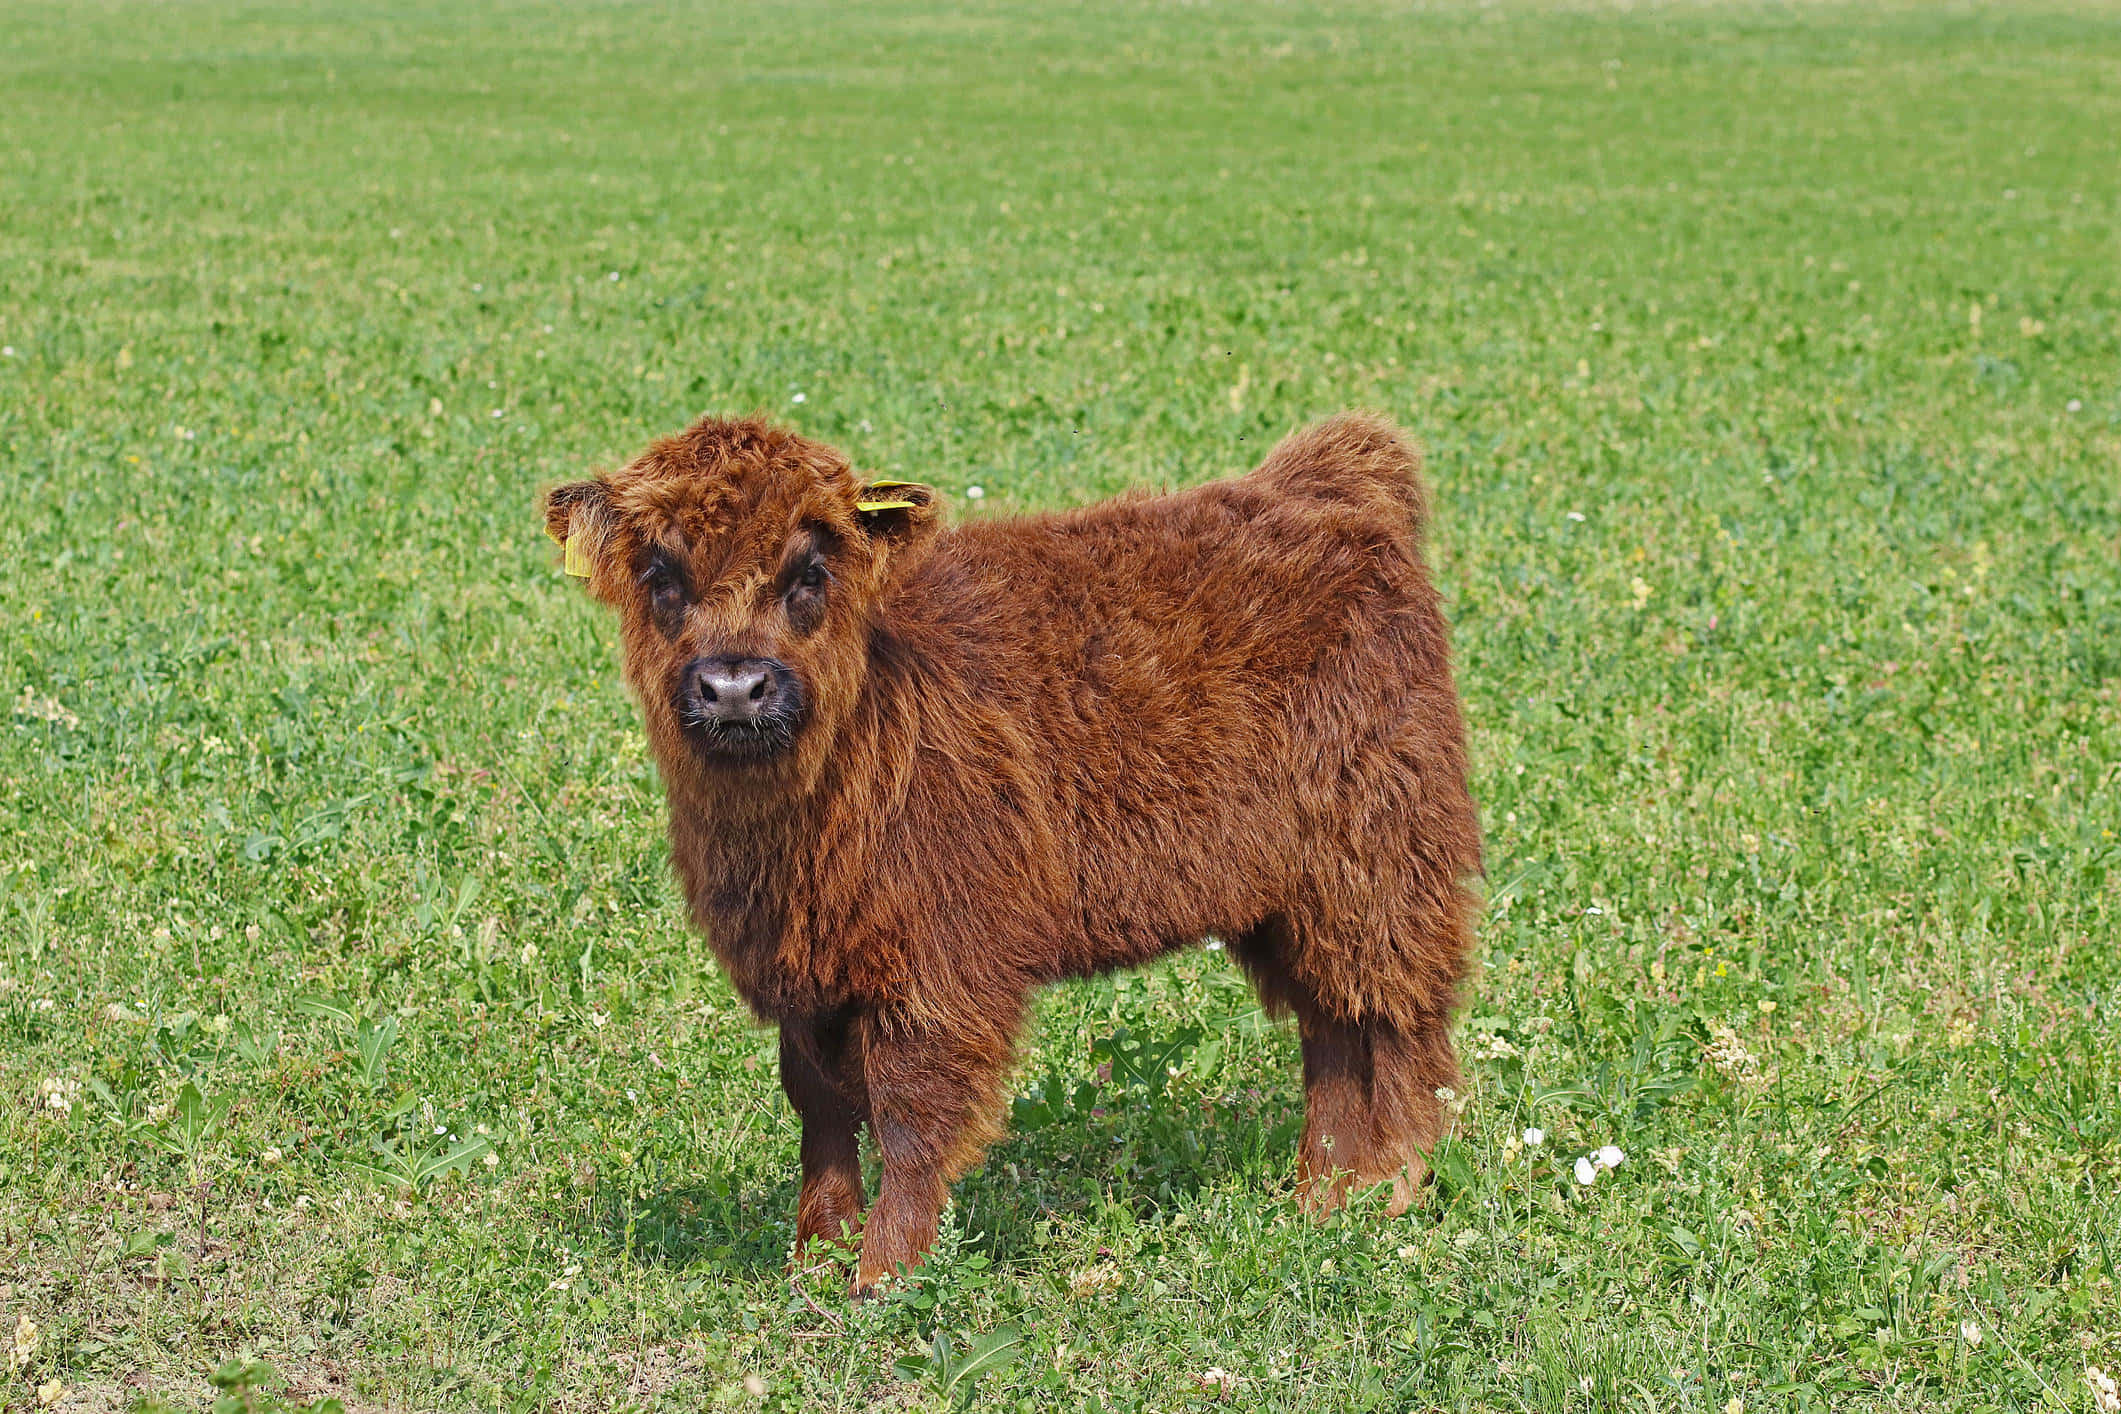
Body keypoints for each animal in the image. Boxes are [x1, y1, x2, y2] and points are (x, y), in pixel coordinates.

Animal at [542, 411, 1481, 1294]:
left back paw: (1392, 1187)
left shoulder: (940, 967)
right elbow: (819, 1108)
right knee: (1332, 1024)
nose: (734, 686)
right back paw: (1324, 1195)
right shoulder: (805, 969)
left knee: (1399, 1018)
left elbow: (908, 1118)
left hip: (1382, 856)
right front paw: (813, 1258)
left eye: (808, 572)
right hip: (1289, 891)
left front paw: (883, 1275)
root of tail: (1323, 484)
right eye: (661, 574)